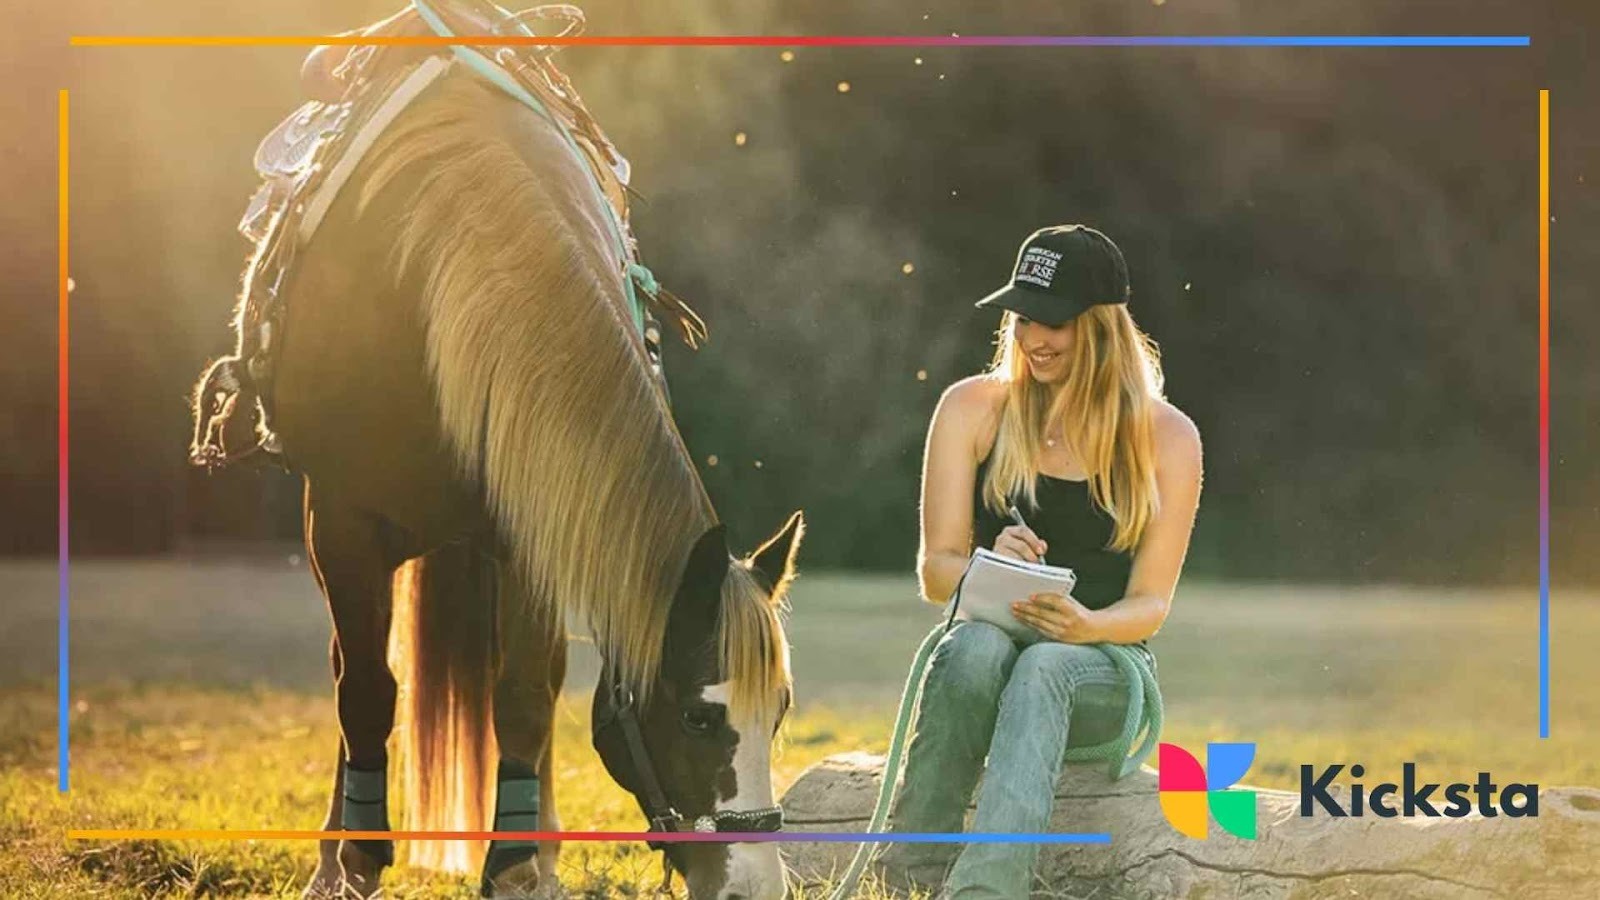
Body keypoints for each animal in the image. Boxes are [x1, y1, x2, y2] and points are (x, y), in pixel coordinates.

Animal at [201, 61, 802, 900]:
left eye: (780, 711)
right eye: (698, 717)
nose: (753, 883)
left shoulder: (535, 526)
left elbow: (522, 698)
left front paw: (518, 866)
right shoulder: (342, 523)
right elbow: (366, 692)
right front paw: (356, 860)